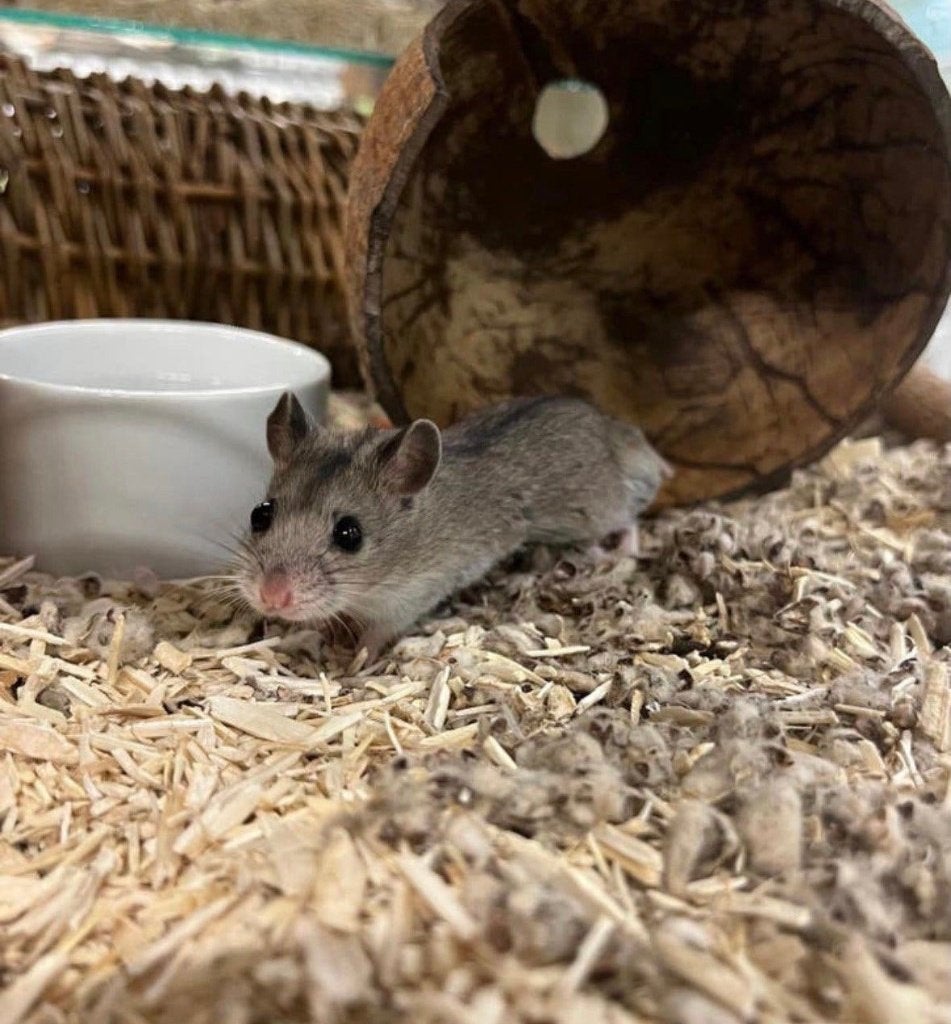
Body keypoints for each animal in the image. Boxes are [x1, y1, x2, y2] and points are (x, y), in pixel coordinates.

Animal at [233, 393, 670, 659]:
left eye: (349, 534)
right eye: (260, 514)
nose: (270, 598)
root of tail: (623, 434)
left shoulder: (413, 596)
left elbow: (378, 634)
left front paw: (356, 659)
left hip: (597, 509)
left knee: (630, 519)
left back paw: (614, 552)